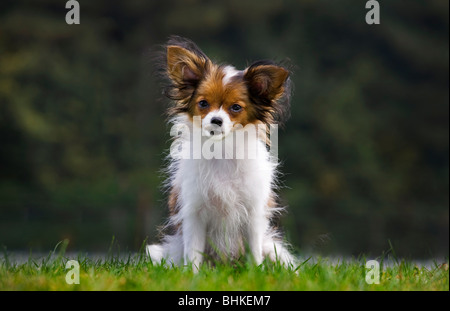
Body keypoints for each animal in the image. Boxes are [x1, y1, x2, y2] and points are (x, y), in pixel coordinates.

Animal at [147, 36, 296, 270]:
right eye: (203, 103)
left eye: (235, 107)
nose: (216, 120)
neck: (222, 151)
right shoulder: (194, 214)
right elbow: (194, 253)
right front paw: (194, 274)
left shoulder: (253, 214)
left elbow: (254, 252)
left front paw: (255, 272)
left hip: (271, 249)